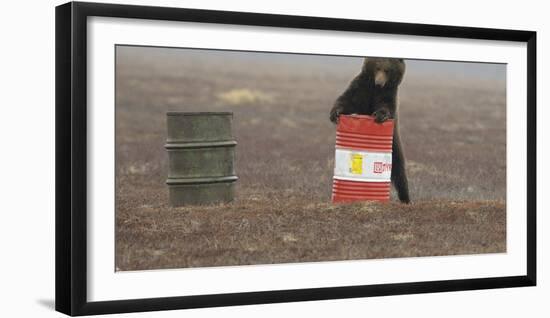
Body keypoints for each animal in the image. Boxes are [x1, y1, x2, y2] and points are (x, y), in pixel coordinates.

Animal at [330, 56, 412, 204]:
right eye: (377, 67)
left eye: (387, 70)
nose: (379, 82)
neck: (374, 90)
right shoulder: (361, 88)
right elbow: (347, 100)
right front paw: (336, 113)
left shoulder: (388, 95)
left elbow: (385, 107)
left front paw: (380, 115)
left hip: (394, 142)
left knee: (399, 169)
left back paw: (405, 198)